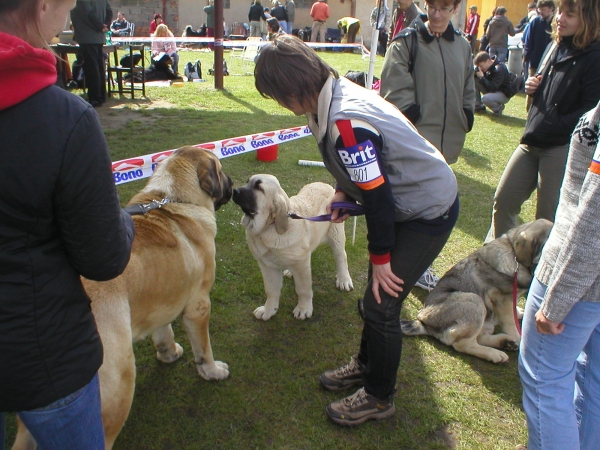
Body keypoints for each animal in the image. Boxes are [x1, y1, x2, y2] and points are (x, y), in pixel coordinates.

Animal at [12, 147, 232, 446]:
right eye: (221, 170)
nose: (233, 184)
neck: (174, 199)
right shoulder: (199, 305)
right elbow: (204, 348)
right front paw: (212, 371)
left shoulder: (162, 295)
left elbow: (163, 329)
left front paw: (168, 353)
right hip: (118, 384)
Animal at [230, 175, 352, 320]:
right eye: (247, 182)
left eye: (259, 188)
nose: (234, 191)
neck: (268, 227)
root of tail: (324, 184)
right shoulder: (267, 265)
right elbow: (271, 290)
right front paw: (269, 310)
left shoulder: (301, 265)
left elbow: (303, 289)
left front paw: (303, 309)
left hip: (336, 234)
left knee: (341, 256)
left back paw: (344, 279)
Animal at [400, 220, 552, 364]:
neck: (513, 254)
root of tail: (423, 322)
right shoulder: (503, 299)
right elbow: (510, 322)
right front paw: (519, 338)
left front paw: (519, 313)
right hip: (475, 300)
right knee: (463, 344)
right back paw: (496, 353)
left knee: (480, 337)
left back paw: (505, 342)